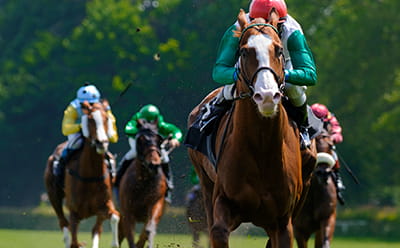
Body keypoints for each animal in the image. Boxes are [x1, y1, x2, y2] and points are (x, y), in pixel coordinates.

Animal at [44, 101, 119, 248]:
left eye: (107, 118)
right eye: (90, 119)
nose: (101, 142)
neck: (90, 176)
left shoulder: (104, 206)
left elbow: (114, 216)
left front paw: (115, 243)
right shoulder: (74, 213)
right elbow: (73, 240)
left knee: (96, 229)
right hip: (54, 196)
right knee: (64, 224)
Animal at [117, 118, 167, 248]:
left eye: (159, 139)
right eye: (140, 140)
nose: (153, 165)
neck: (144, 182)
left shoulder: (156, 203)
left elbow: (148, 230)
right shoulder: (127, 212)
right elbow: (130, 235)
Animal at [187, 9, 316, 248]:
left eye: (278, 50)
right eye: (244, 52)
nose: (266, 96)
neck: (261, 146)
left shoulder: (282, 222)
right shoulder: (224, 202)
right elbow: (217, 231)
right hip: (205, 183)